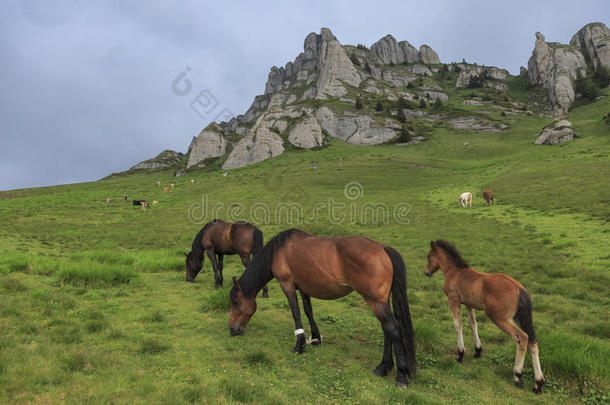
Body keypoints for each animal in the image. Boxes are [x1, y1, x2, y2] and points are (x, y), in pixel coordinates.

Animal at [226, 229, 416, 386]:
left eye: (235, 302)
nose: (232, 330)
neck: (278, 251)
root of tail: (383, 248)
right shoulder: (303, 287)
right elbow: (308, 310)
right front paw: (315, 338)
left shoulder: (287, 284)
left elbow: (296, 313)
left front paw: (299, 345)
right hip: (380, 302)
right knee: (387, 330)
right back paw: (383, 367)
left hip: (375, 302)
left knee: (393, 329)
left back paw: (400, 376)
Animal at [422, 240, 540, 392]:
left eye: (429, 256)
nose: (426, 272)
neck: (454, 272)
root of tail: (518, 288)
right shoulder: (468, 304)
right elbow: (473, 325)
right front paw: (478, 351)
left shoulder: (453, 301)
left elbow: (458, 325)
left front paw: (460, 355)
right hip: (519, 318)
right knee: (533, 341)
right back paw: (538, 383)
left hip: (499, 318)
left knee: (522, 337)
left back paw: (517, 376)